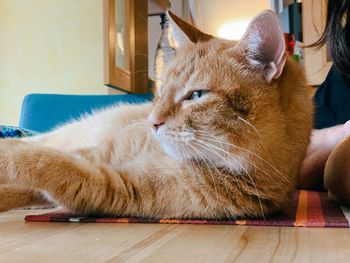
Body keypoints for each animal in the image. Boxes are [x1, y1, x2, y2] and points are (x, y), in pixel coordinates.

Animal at [0, 10, 314, 219]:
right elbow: (32, 162)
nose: (152, 122)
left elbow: (42, 162)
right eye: (161, 91)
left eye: (196, 95)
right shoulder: (96, 153)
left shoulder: (109, 184)